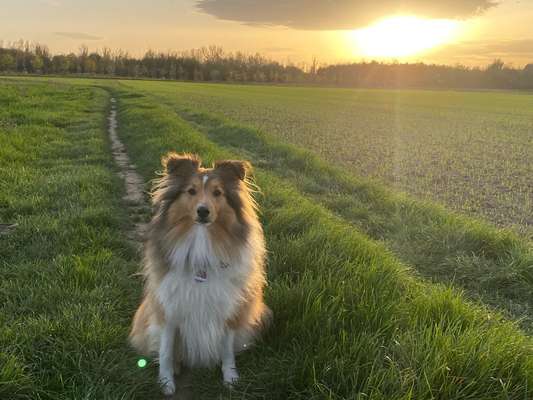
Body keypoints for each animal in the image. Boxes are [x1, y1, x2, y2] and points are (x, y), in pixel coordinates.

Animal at [129, 152, 270, 396]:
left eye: (218, 193)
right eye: (191, 191)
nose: (203, 211)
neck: (201, 243)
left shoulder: (228, 309)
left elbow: (227, 351)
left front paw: (231, 379)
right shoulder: (169, 309)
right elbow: (166, 351)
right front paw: (165, 383)